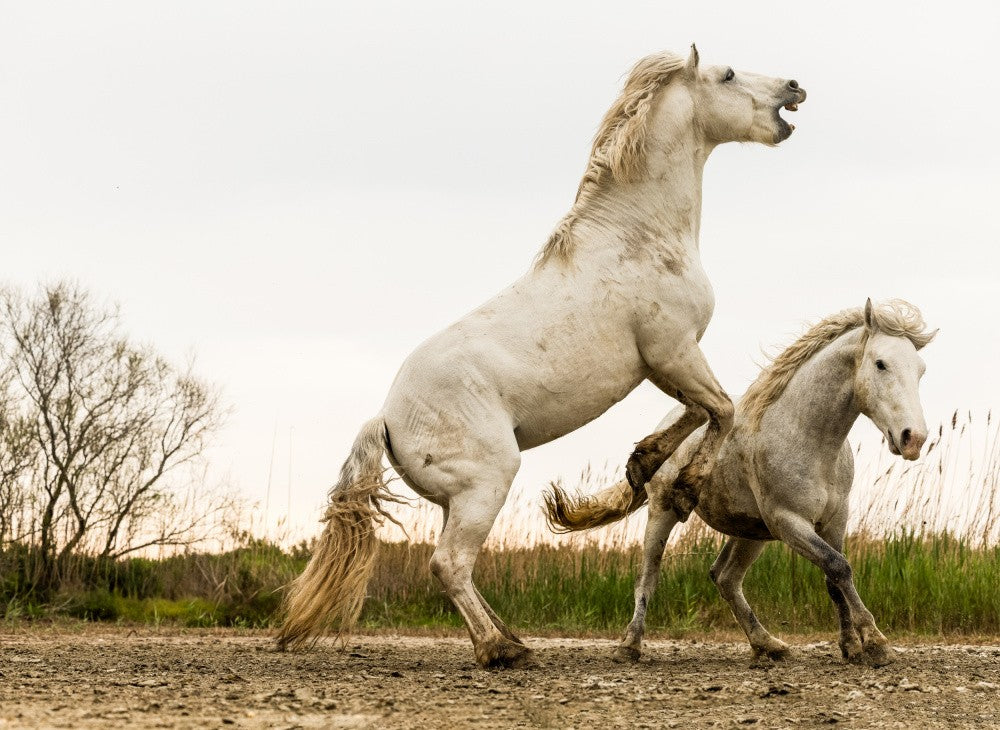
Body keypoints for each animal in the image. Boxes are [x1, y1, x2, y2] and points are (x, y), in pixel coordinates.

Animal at [277, 46, 807, 669]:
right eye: (726, 75)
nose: (794, 88)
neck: (639, 236)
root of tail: (386, 418)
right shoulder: (672, 352)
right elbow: (721, 410)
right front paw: (685, 482)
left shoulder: (665, 365)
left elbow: (697, 414)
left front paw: (643, 463)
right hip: (487, 483)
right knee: (448, 565)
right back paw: (500, 651)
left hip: (456, 500)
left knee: (460, 566)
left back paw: (509, 638)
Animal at [545, 299, 936, 667]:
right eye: (881, 364)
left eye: (920, 370)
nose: (913, 438)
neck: (807, 437)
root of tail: (670, 421)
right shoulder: (788, 522)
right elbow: (838, 567)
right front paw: (876, 643)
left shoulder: (834, 521)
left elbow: (833, 575)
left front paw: (852, 646)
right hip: (664, 512)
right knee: (649, 579)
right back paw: (630, 646)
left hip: (750, 532)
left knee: (725, 577)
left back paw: (768, 645)